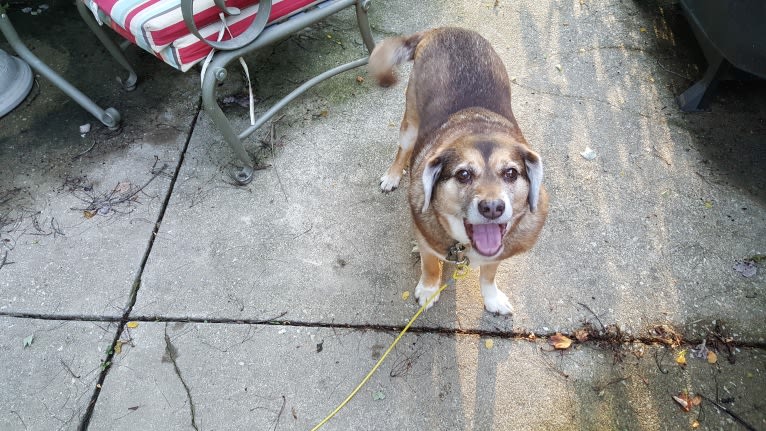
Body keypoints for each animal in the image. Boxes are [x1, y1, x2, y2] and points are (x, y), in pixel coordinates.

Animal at [368, 28, 548, 316]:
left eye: (511, 173)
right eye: (463, 175)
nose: (492, 208)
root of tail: (442, 29)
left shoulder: (497, 251)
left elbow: (488, 274)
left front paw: (492, 298)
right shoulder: (428, 236)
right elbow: (431, 264)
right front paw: (429, 290)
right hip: (410, 123)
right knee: (402, 150)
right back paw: (393, 175)